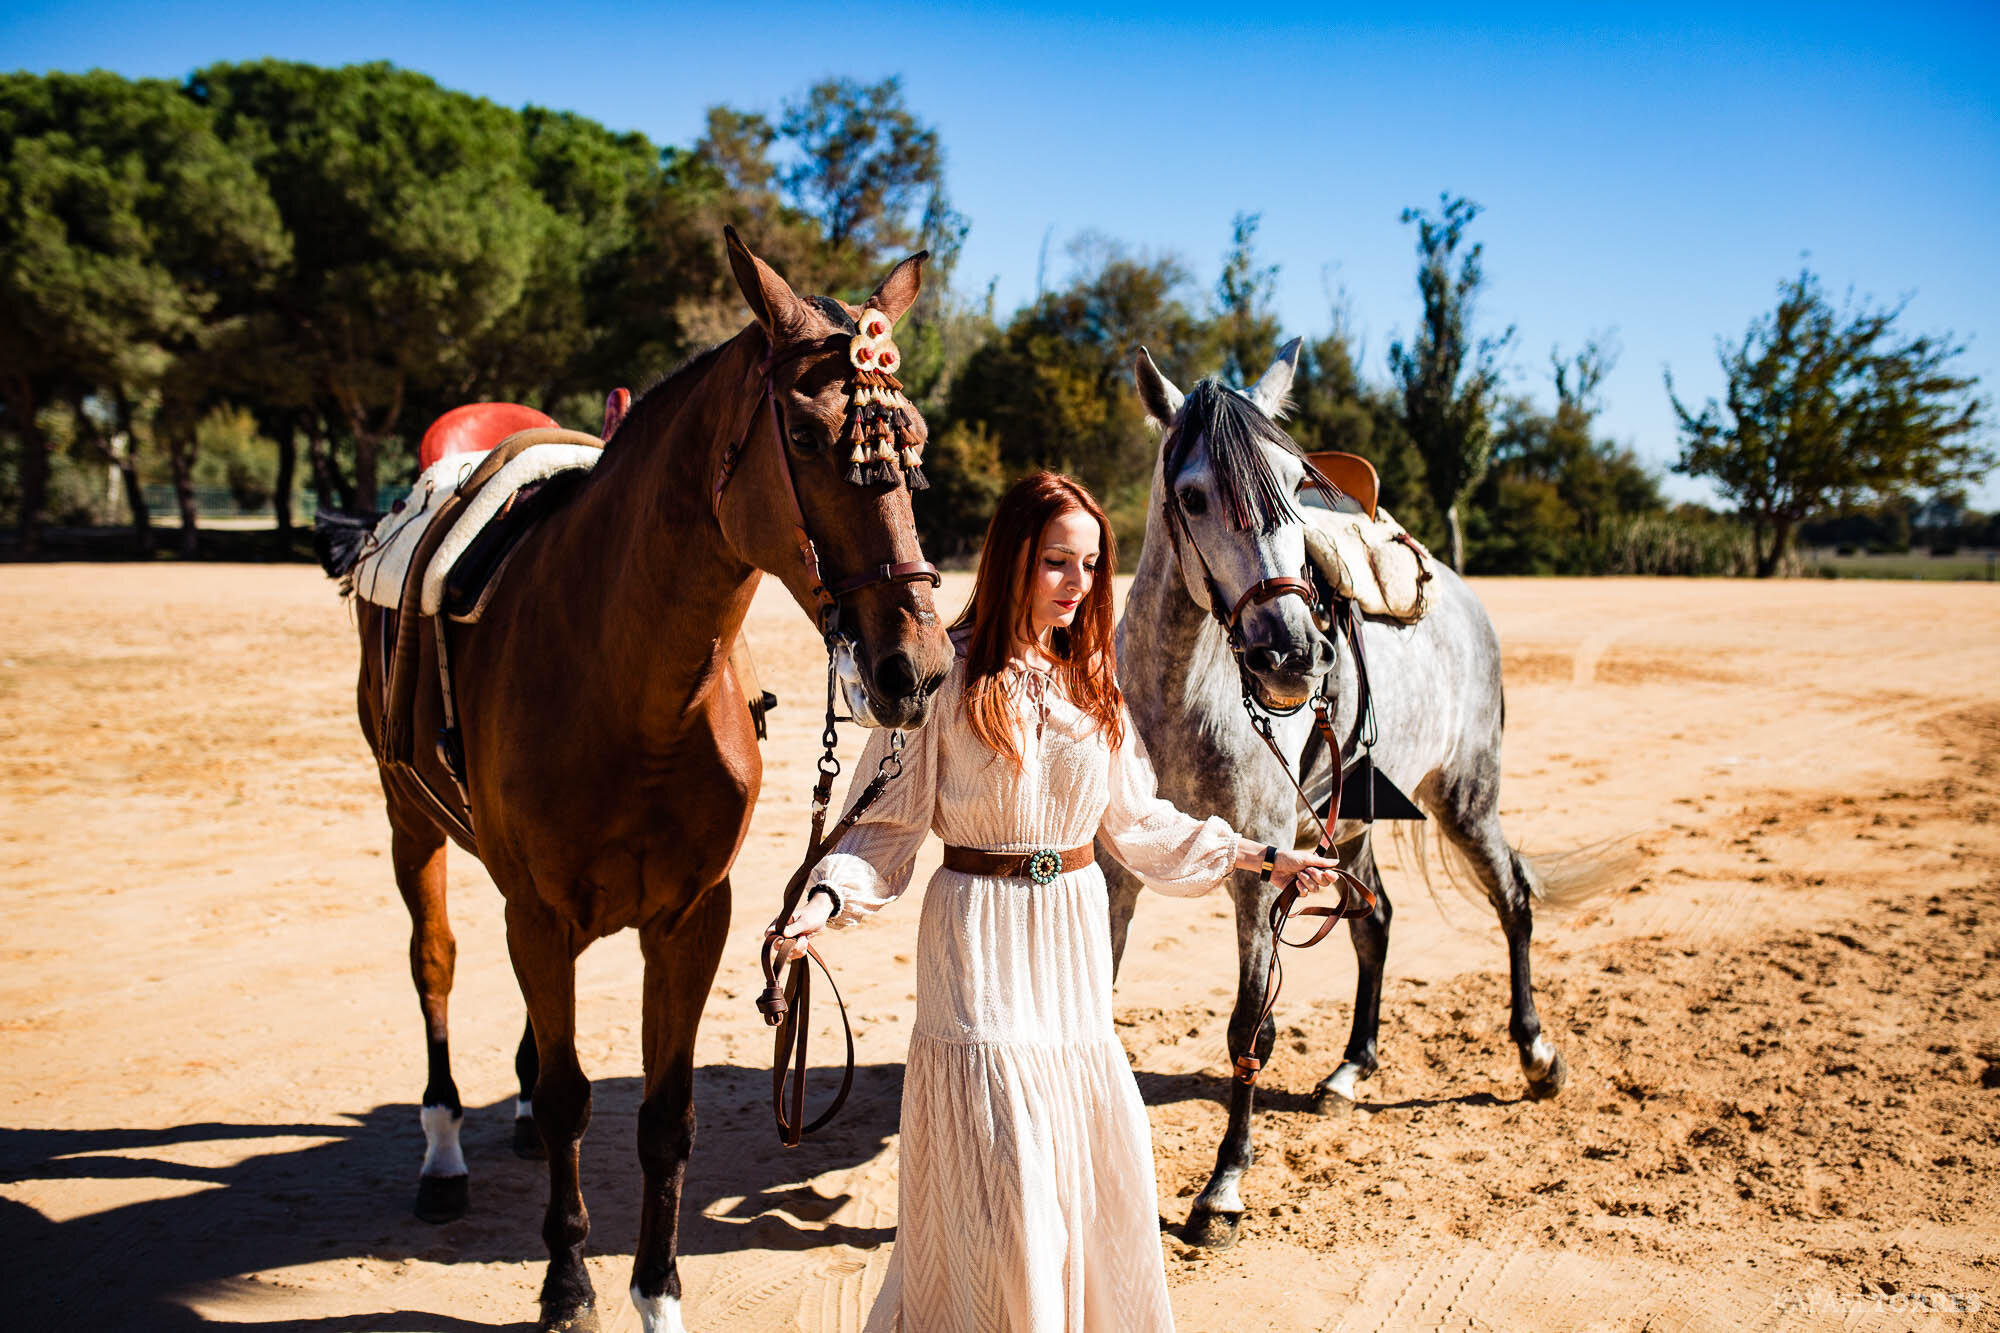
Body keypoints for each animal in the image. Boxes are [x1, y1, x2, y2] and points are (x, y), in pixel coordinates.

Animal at [328, 231, 952, 1328]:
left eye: (911, 439)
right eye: (803, 431)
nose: (912, 668)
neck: (629, 684)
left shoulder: (689, 916)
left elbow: (664, 1114)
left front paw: (656, 1290)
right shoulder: (539, 909)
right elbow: (574, 1095)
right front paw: (566, 1282)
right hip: (412, 820)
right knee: (435, 965)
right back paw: (444, 1152)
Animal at [1104, 334, 1600, 1248]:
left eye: (1294, 483)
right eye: (1191, 495)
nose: (1294, 655)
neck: (1183, 697)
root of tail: (1462, 596)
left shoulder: (1259, 877)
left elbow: (1249, 1024)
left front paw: (1223, 1188)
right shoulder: (1119, 871)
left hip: (1466, 799)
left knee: (1512, 898)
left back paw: (1537, 1056)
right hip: (1358, 819)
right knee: (1376, 922)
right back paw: (1349, 1069)